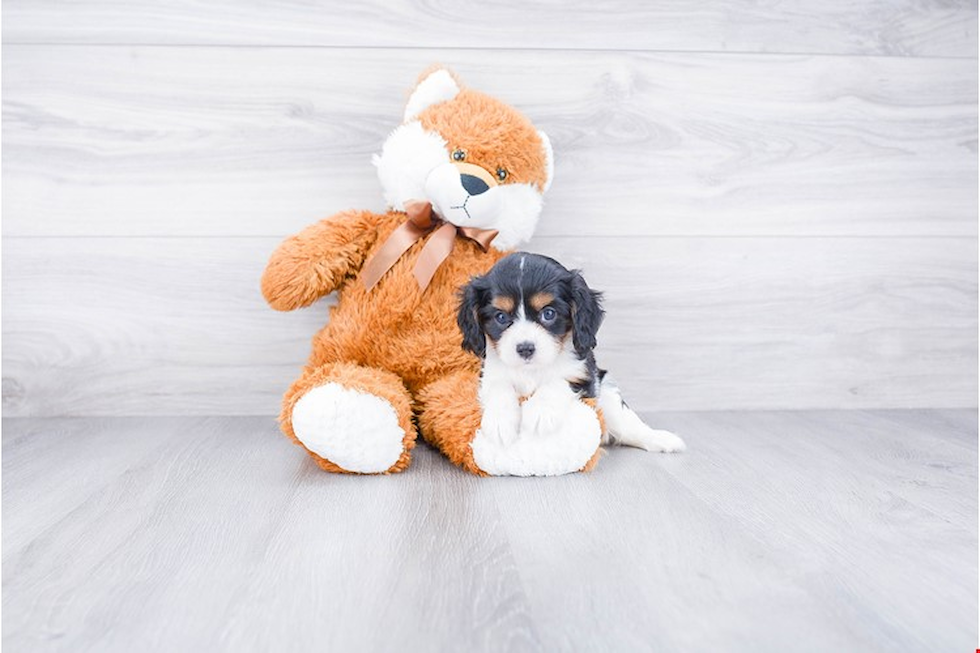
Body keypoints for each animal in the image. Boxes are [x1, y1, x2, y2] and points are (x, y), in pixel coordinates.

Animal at [458, 253, 680, 454]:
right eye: (501, 317)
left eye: (549, 314)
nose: (525, 348)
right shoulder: (490, 375)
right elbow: (499, 387)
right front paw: (499, 421)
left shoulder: (584, 374)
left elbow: (559, 381)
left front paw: (540, 411)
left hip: (608, 395)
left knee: (627, 426)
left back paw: (661, 439)